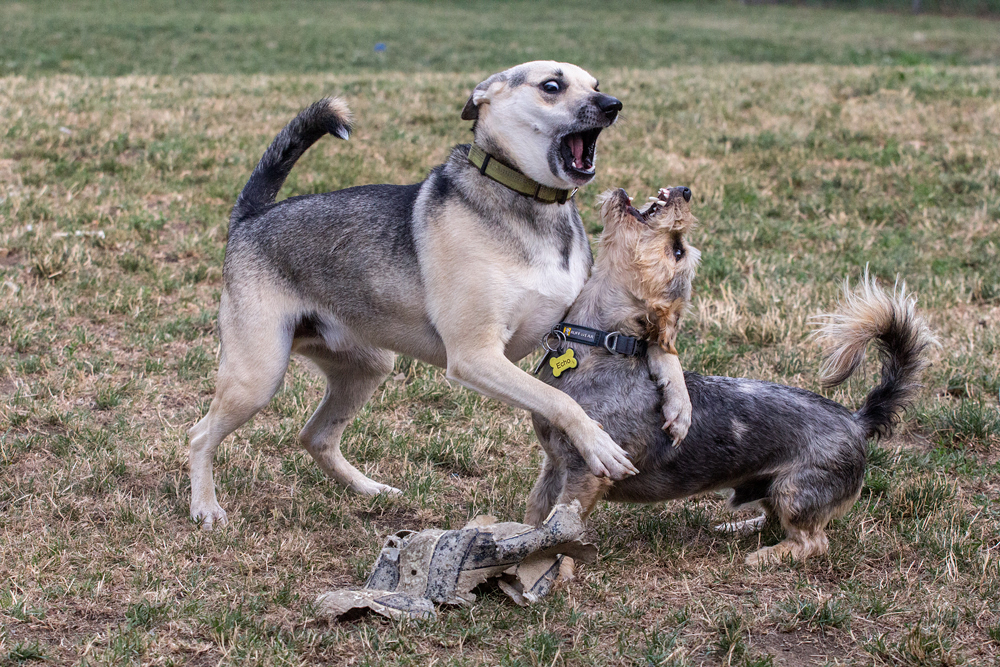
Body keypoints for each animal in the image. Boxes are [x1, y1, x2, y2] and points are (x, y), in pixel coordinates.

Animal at [186, 64, 696, 532]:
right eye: (552, 86)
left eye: (595, 85)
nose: (612, 104)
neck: (531, 204)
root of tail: (251, 217)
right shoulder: (475, 356)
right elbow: (559, 401)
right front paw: (598, 444)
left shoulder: (577, 321)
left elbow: (657, 351)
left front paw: (679, 403)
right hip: (258, 376)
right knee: (199, 435)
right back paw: (205, 507)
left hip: (368, 367)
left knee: (316, 437)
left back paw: (369, 489)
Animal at [528, 185, 932, 568]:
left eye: (678, 251)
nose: (685, 190)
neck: (600, 349)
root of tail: (857, 420)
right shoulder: (555, 465)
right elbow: (536, 514)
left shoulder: (586, 473)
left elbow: (561, 525)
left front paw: (554, 565)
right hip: (771, 489)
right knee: (772, 521)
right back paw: (740, 528)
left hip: (796, 492)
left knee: (813, 542)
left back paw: (767, 556)